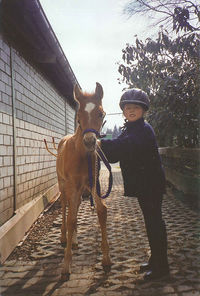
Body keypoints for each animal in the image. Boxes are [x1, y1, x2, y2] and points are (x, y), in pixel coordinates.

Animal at [46, 82, 111, 278]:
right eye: (79, 115)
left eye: (101, 113)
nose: (90, 142)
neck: (82, 156)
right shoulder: (72, 186)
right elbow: (71, 218)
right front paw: (66, 265)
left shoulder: (92, 184)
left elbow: (101, 211)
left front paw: (106, 259)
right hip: (63, 184)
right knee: (66, 207)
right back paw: (63, 237)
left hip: (81, 188)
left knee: (75, 207)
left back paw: (73, 240)